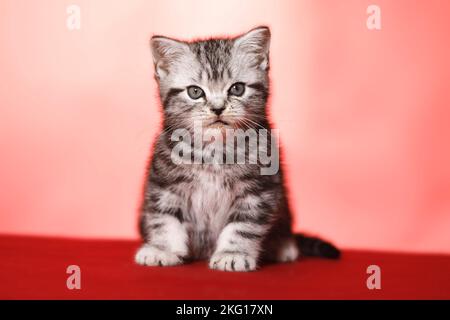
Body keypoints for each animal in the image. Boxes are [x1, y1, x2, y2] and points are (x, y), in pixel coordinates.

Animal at [135, 26, 340, 272]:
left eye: (237, 88)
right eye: (195, 92)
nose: (217, 108)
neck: (213, 151)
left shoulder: (258, 189)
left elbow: (244, 226)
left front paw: (233, 253)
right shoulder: (165, 184)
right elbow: (163, 218)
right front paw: (161, 249)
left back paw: (281, 245)